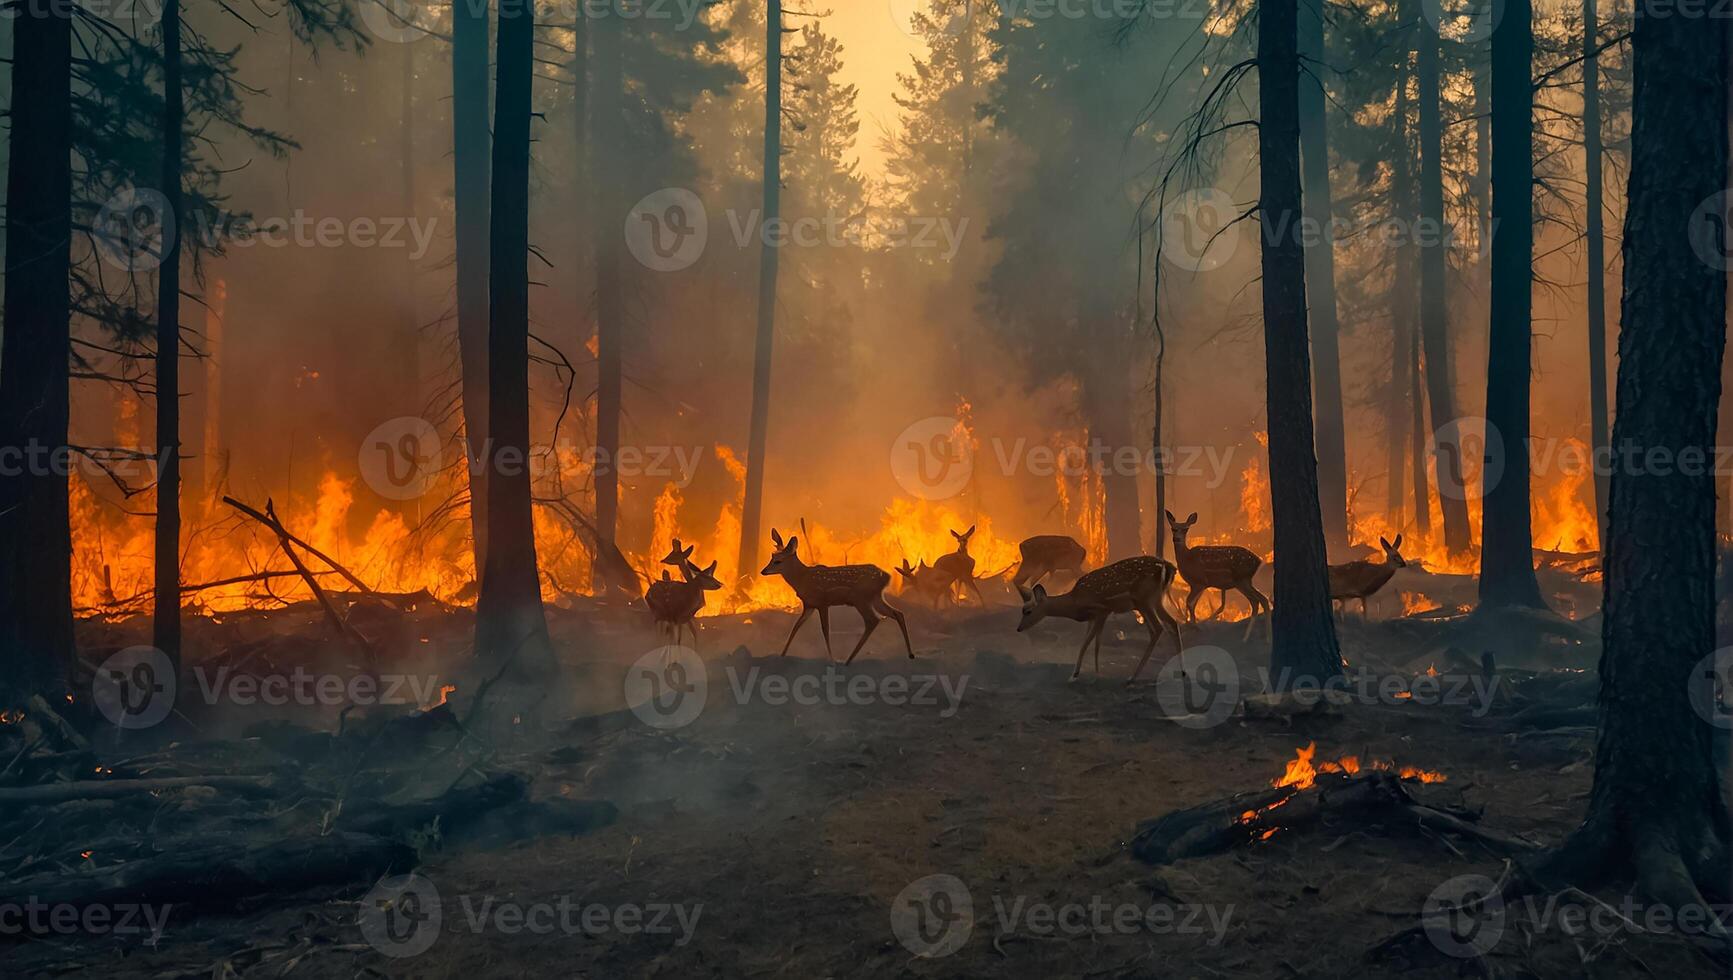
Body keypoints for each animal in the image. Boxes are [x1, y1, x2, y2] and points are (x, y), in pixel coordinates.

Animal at [762, 527, 915, 666]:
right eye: (771, 558)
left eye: (778, 561)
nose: (763, 571)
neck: (802, 579)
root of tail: (887, 577)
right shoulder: (809, 605)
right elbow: (796, 627)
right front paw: (782, 655)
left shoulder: (822, 601)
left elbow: (825, 629)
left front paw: (832, 660)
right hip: (875, 597)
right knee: (897, 613)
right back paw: (910, 654)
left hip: (861, 598)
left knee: (873, 620)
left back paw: (848, 660)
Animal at [1012, 555, 1185, 683]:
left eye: (1027, 611)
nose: (1019, 628)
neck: (1075, 603)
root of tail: (1169, 567)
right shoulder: (1097, 615)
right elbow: (1095, 642)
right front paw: (1096, 673)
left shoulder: (1100, 610)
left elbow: (1087, 643)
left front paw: (1074, 675)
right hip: (1155, 599)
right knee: (1172, 622)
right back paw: (1181, 671)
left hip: (1143, 598)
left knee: (1157, 628)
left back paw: (1133, 677)